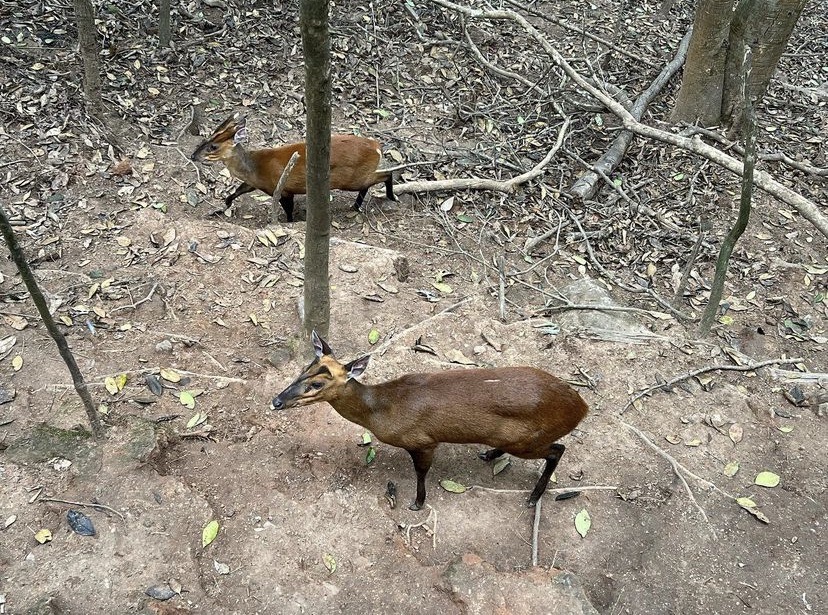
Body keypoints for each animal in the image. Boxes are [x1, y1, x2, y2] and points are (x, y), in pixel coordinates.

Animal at [190, 114, 394, 223]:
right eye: (206, 140)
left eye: (213, 147)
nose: (193, 156)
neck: (255, 167)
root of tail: (377, 146)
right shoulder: (256, 183)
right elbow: (236, 192)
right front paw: (220, 208)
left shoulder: (283, 188)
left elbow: (288, 211)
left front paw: (289, 222)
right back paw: (356, 205)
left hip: (353, 177)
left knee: (385, 174)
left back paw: (389, 197)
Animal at [272, 332, 588, 510]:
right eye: (304, 369)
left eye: (317, 384)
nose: (276, 401)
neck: (382, 409)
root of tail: (580, 407)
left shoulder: (423, 440)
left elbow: (421, 473)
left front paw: (417, 503)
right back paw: (488, 454)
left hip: (527, 440)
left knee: (558, 450)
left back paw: (533, 497)